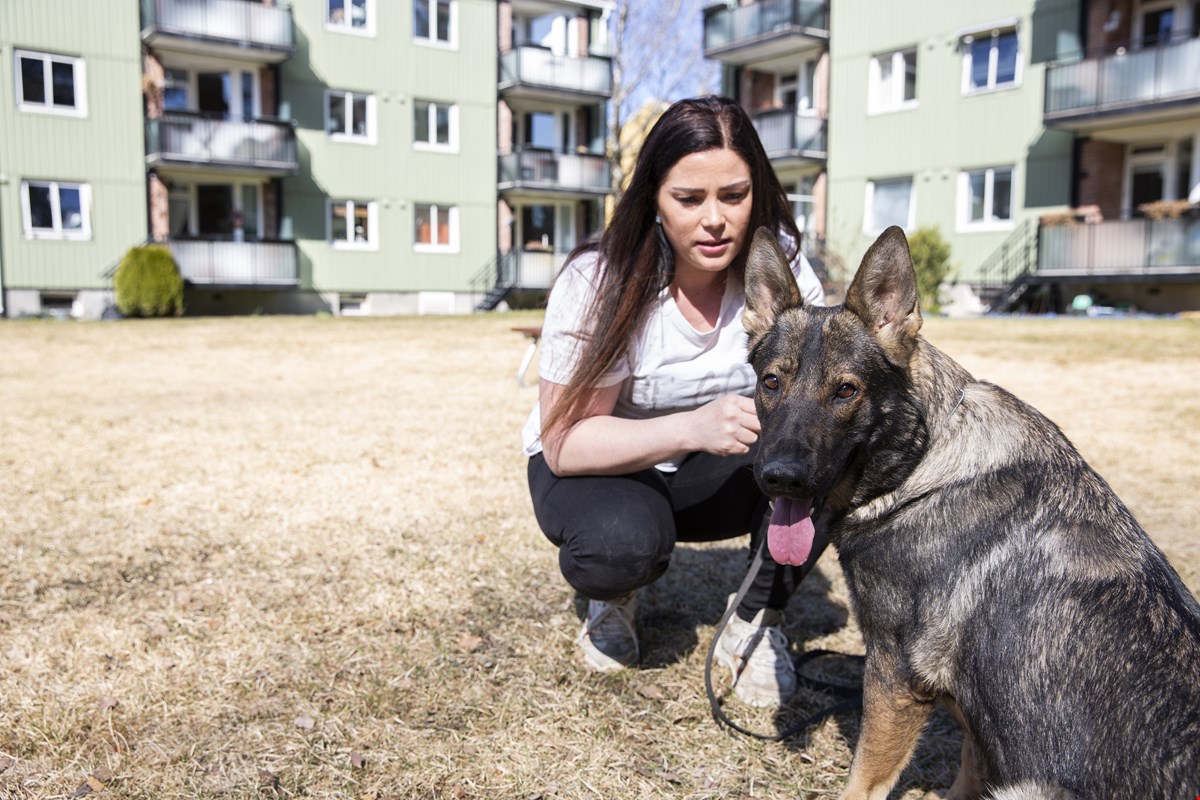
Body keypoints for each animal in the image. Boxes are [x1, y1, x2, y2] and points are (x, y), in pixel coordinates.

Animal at [739, 225, 1200, 800]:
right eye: (771, 382)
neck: (921, 462)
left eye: (846, 390)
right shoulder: (972, 719)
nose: (778, 478)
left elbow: (863, 782)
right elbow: (967, 769)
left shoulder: (895, 678)